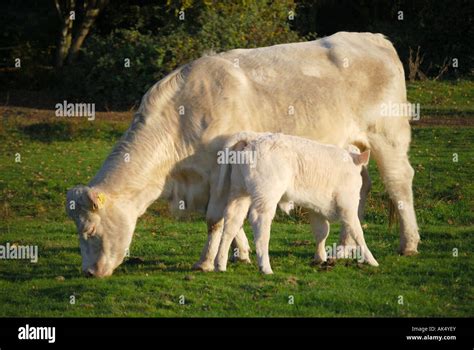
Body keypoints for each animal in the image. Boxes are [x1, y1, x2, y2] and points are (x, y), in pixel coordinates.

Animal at [65, 33, 418, 278]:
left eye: (90, 231)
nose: (89, 272)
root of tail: (373, 38)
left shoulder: (219, 171)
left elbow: (215, 220)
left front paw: (206, 261)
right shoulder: (222, 180)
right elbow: (230, 219)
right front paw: (240, 253)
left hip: (388, 138)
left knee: (399, 185)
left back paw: (409, 243)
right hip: (352, 150)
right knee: (360, 190)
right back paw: (344, 247)